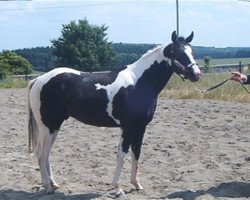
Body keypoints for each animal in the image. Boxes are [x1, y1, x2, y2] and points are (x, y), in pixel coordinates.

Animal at [27, 31, 201, 195]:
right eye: (178, 53)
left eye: (192, 51)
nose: (197, 74)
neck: (139, 83)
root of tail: (38, 79)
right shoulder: (128, 127)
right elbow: (121, 155)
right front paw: (118, 188)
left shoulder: (140, 128)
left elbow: (136, 153)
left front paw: (136, 185)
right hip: (47, 126)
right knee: (41, 153)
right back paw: (47, 187)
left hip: (54, 126)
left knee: (47, 154)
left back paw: (54, 184)